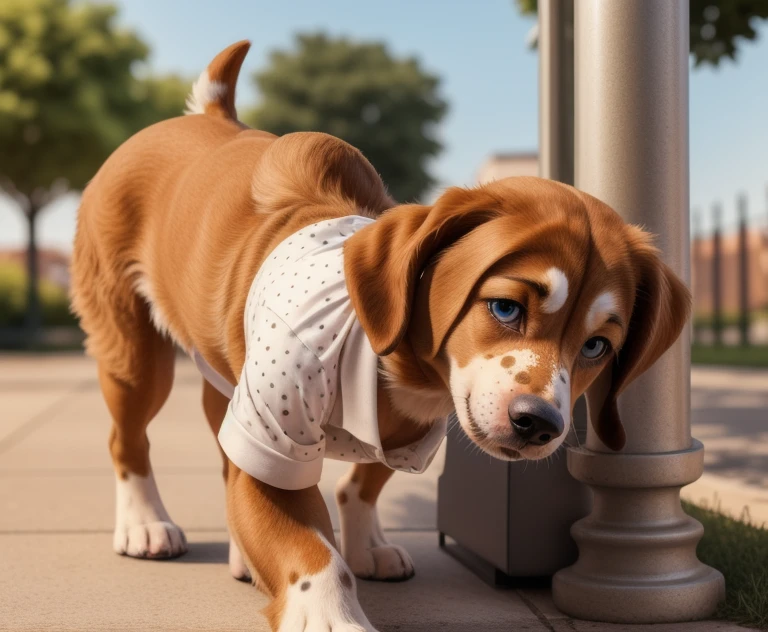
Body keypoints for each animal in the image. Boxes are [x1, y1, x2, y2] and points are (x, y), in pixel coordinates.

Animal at [70, 42, 688, 628]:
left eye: (596, 346)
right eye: (505, 307)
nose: (539, 423)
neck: (394, 366)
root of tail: (205, 116)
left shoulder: (405, 437)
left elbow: (361, 483)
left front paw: (366, 544)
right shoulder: (275, 431)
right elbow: (310, 550)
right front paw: (329, 614)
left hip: (220, 376)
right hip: (135, 358)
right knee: (127, 439)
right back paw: (146, 524)